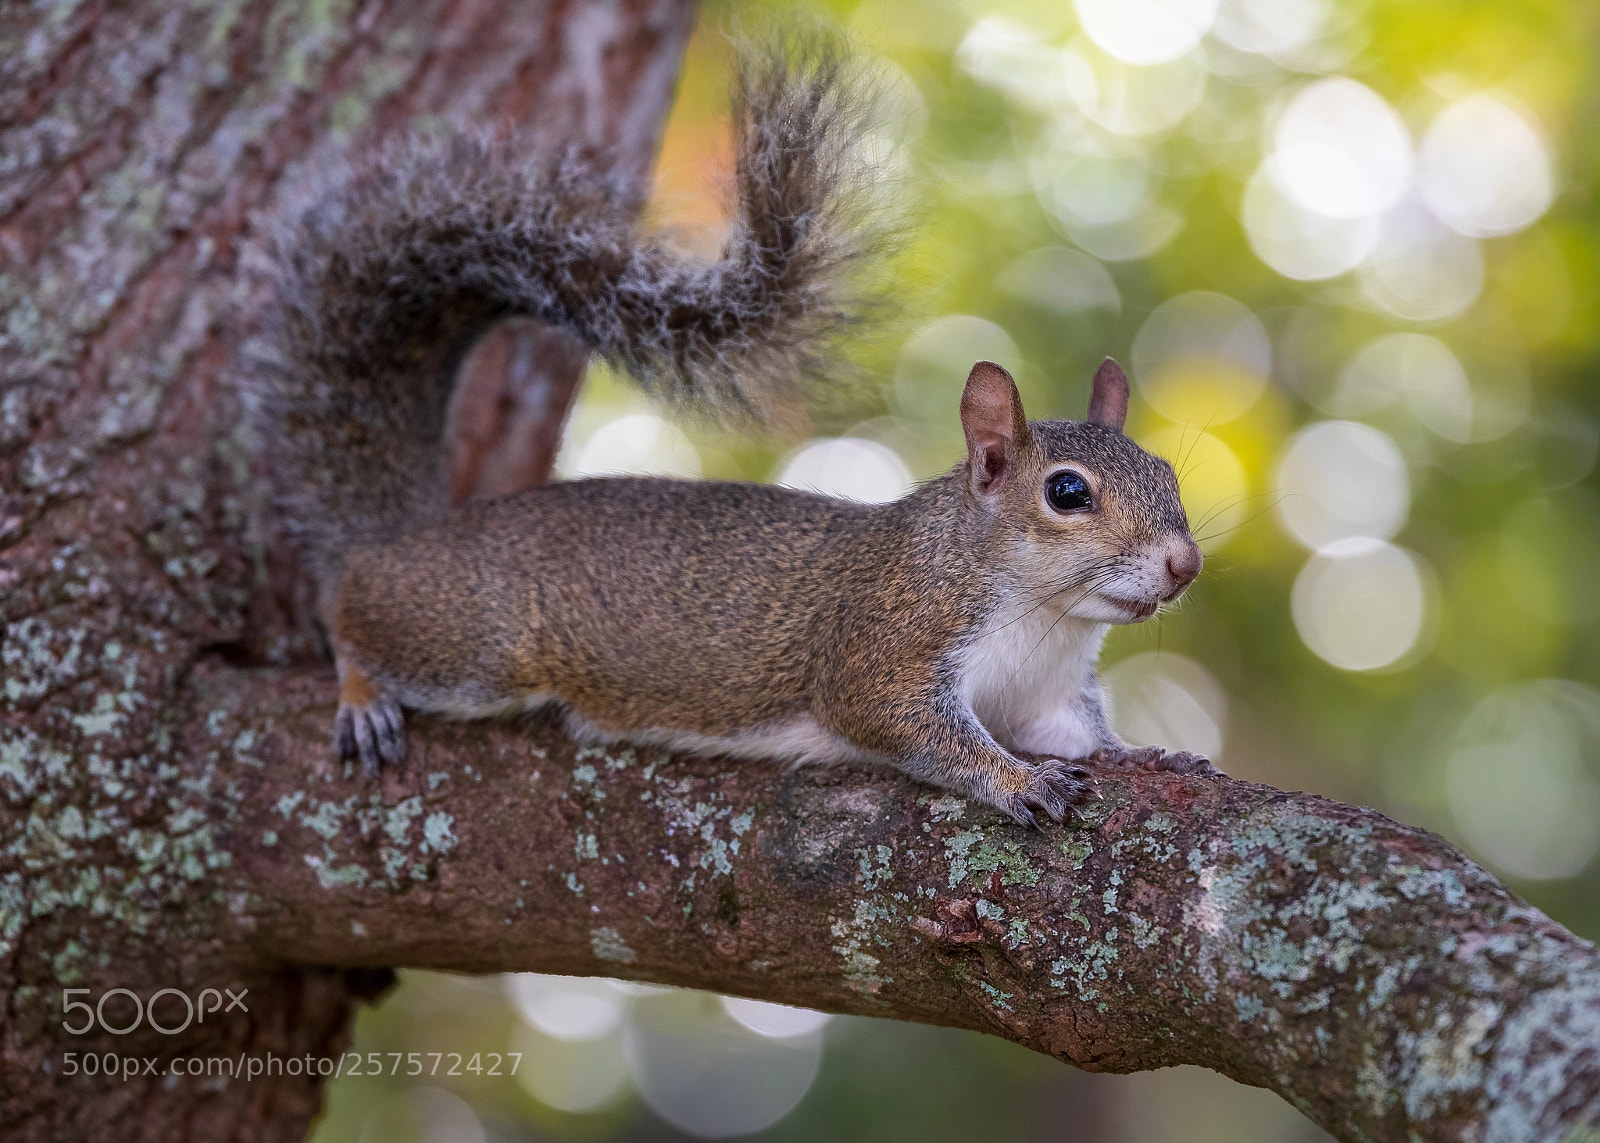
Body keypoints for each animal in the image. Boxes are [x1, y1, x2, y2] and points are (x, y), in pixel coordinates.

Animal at [250, 33, 1217, 828]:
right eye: (1066, 492)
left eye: (1168, 474)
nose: (1184, 564)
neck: (1044, 617)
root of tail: (406, 535)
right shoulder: (886, 645)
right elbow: (906, 724)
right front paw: (1018, 781)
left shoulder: (1048, 698)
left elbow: (1085, 737)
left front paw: (1154, 752)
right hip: (472, 642)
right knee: (352, 615)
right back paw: (362, 693)